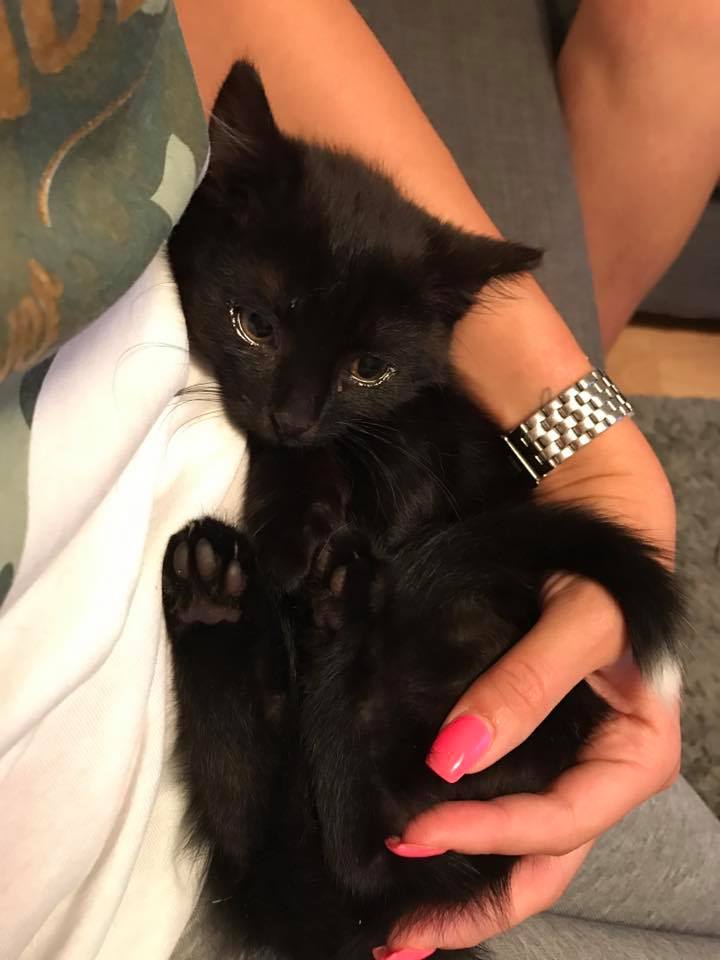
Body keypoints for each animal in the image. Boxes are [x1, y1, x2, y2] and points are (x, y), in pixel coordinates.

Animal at [164, 62, 681, 960]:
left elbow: (398, 449)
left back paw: (308, 598)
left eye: (368, 368)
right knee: (261, 813)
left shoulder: (427, 414)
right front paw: (299, 518)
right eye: (255, 324)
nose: (293, 416)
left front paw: (317, 521)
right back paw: (221, 595)